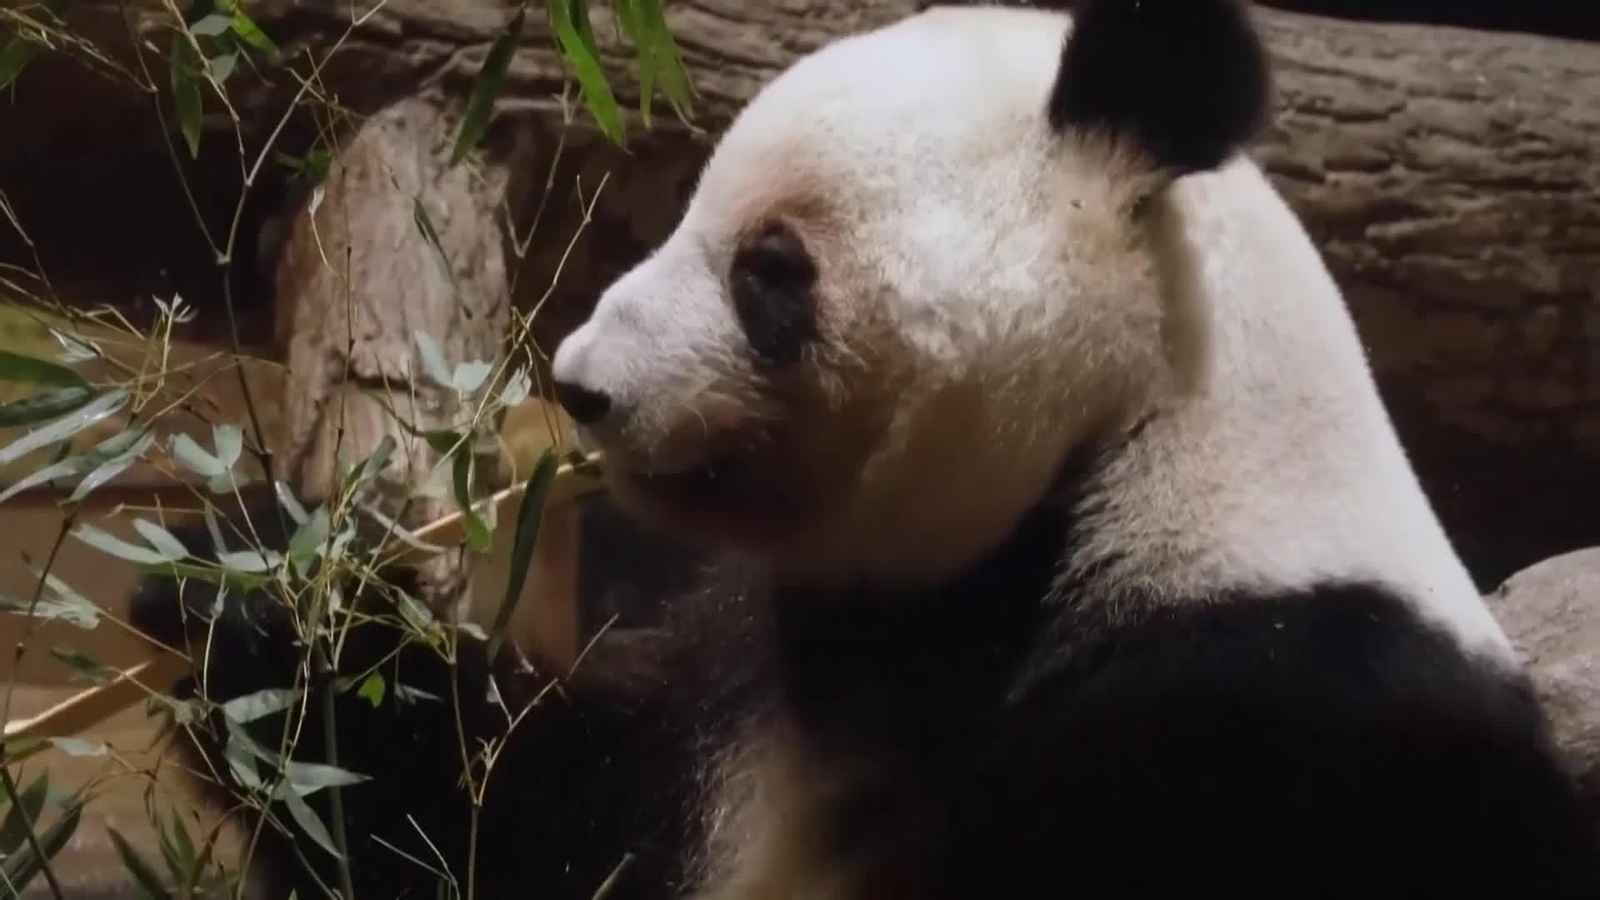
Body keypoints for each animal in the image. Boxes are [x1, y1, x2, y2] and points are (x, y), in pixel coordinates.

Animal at [129, 1, 1600, 898]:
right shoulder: (757, 682)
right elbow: (533, 822)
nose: (583, 388)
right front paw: (243, 593)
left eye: (769, 270)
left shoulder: (1270, 715)